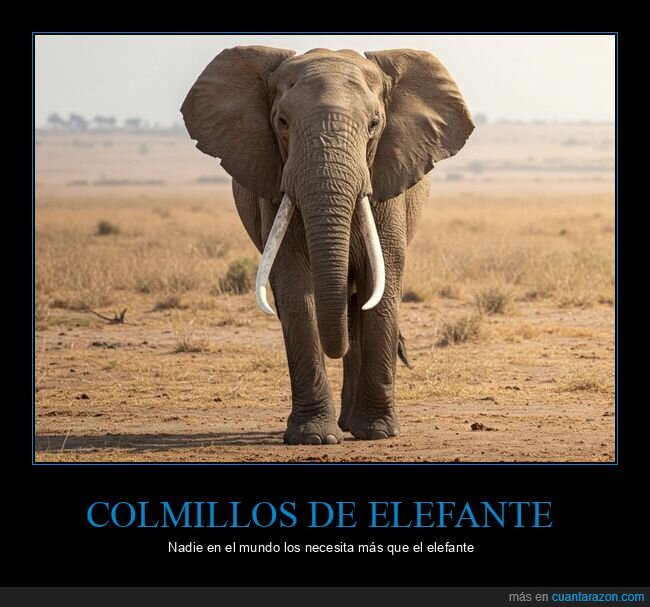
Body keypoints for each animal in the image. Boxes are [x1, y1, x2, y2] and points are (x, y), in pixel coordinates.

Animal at [181, 46, 474, 445]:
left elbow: (382, 282)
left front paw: (378, 433)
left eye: (374, 124)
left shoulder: (388, 182)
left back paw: (354, 424)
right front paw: (314, 437)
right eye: (282, 122)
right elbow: (293, 284)